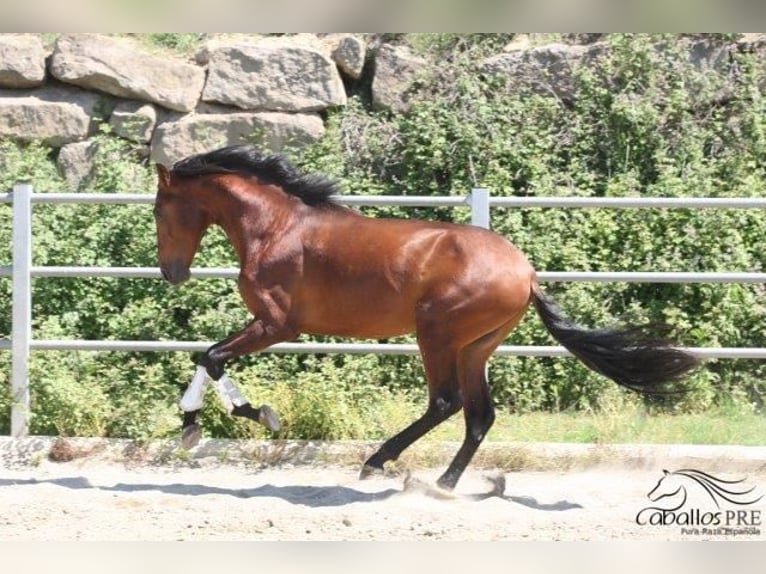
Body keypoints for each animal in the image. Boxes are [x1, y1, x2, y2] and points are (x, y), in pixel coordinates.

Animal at [154, 144, 704, 490]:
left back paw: (379, 463)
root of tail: (526, 273)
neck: (277, 227)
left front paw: (233, 418)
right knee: (479, 414)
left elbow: (212, 357)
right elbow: (209, 357)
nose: (172, 273)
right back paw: (446, 483)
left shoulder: (277, 324)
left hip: (436, 335)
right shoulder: (273, 327)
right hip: (476, 346)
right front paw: (198, 424)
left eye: (160, 209)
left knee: (445, 402)